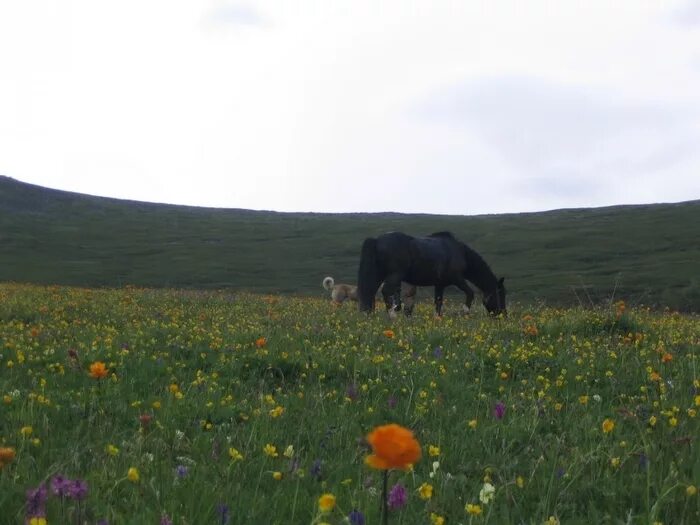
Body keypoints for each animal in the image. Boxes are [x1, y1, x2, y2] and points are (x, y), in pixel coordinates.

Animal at [358, 232, 506, 316]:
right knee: (385, 291)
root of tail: (376, 240)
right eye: (501, 295)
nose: (503, 315)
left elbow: (438, 304)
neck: (460, 253)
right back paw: (392, 315)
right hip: (394, 275)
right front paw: (465, 312)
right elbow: (470, 293)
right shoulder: (458, 279)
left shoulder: (440, 285)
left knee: (370, 292)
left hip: (379, 275)